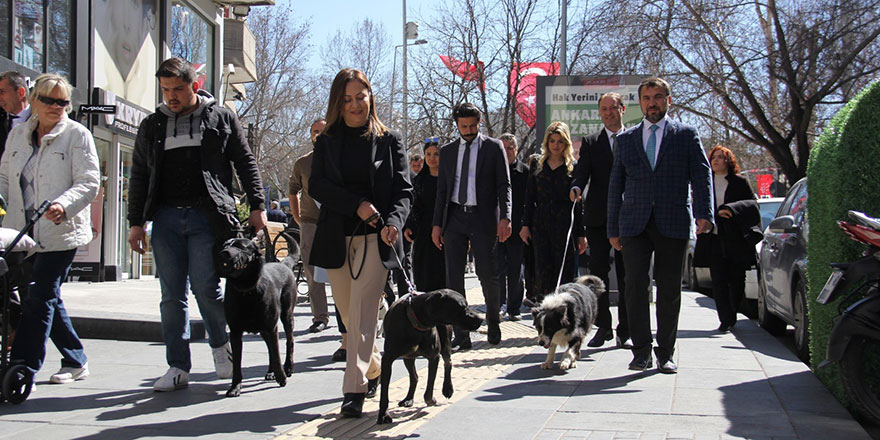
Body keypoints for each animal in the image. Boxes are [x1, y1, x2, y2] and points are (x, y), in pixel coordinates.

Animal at [216, 239, 296, 398]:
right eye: (225, 245)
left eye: (240, 246)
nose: (223, 253)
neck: (246, 291)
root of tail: (283, 264)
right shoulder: (235, 332)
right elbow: (237, 363)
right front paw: (235, 387)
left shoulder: (271, 327)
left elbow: (276, 354)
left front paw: (281, 377)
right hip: (263, 330)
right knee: (270, 348)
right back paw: (271, 372)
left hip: (286, 316)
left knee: (288, 342)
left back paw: (288, 368)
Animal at [376, 290, 484, 424]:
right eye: (462, 307)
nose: (481, 319)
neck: (415, 322)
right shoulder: (387, 359)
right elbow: (384, 391)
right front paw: (383, 414)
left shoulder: (434, 356)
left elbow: (430, 386)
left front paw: (431, 400)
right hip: (408, 357)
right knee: (414, 377)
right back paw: (409, 398)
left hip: (445, 342)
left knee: (448, 363)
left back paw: (447, 388)